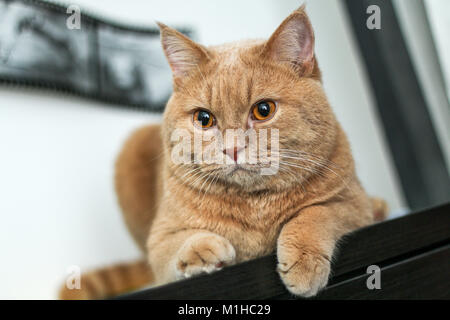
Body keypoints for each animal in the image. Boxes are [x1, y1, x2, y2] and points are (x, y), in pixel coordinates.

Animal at [58, 5, 384, 300]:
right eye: (204, 119)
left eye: (263, 110)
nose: (233, 148)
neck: (255, 206)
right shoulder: (160, 239)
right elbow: (176, 244)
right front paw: (201, 249)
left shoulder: (353, 203)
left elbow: (316, 213)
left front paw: (304, 261)